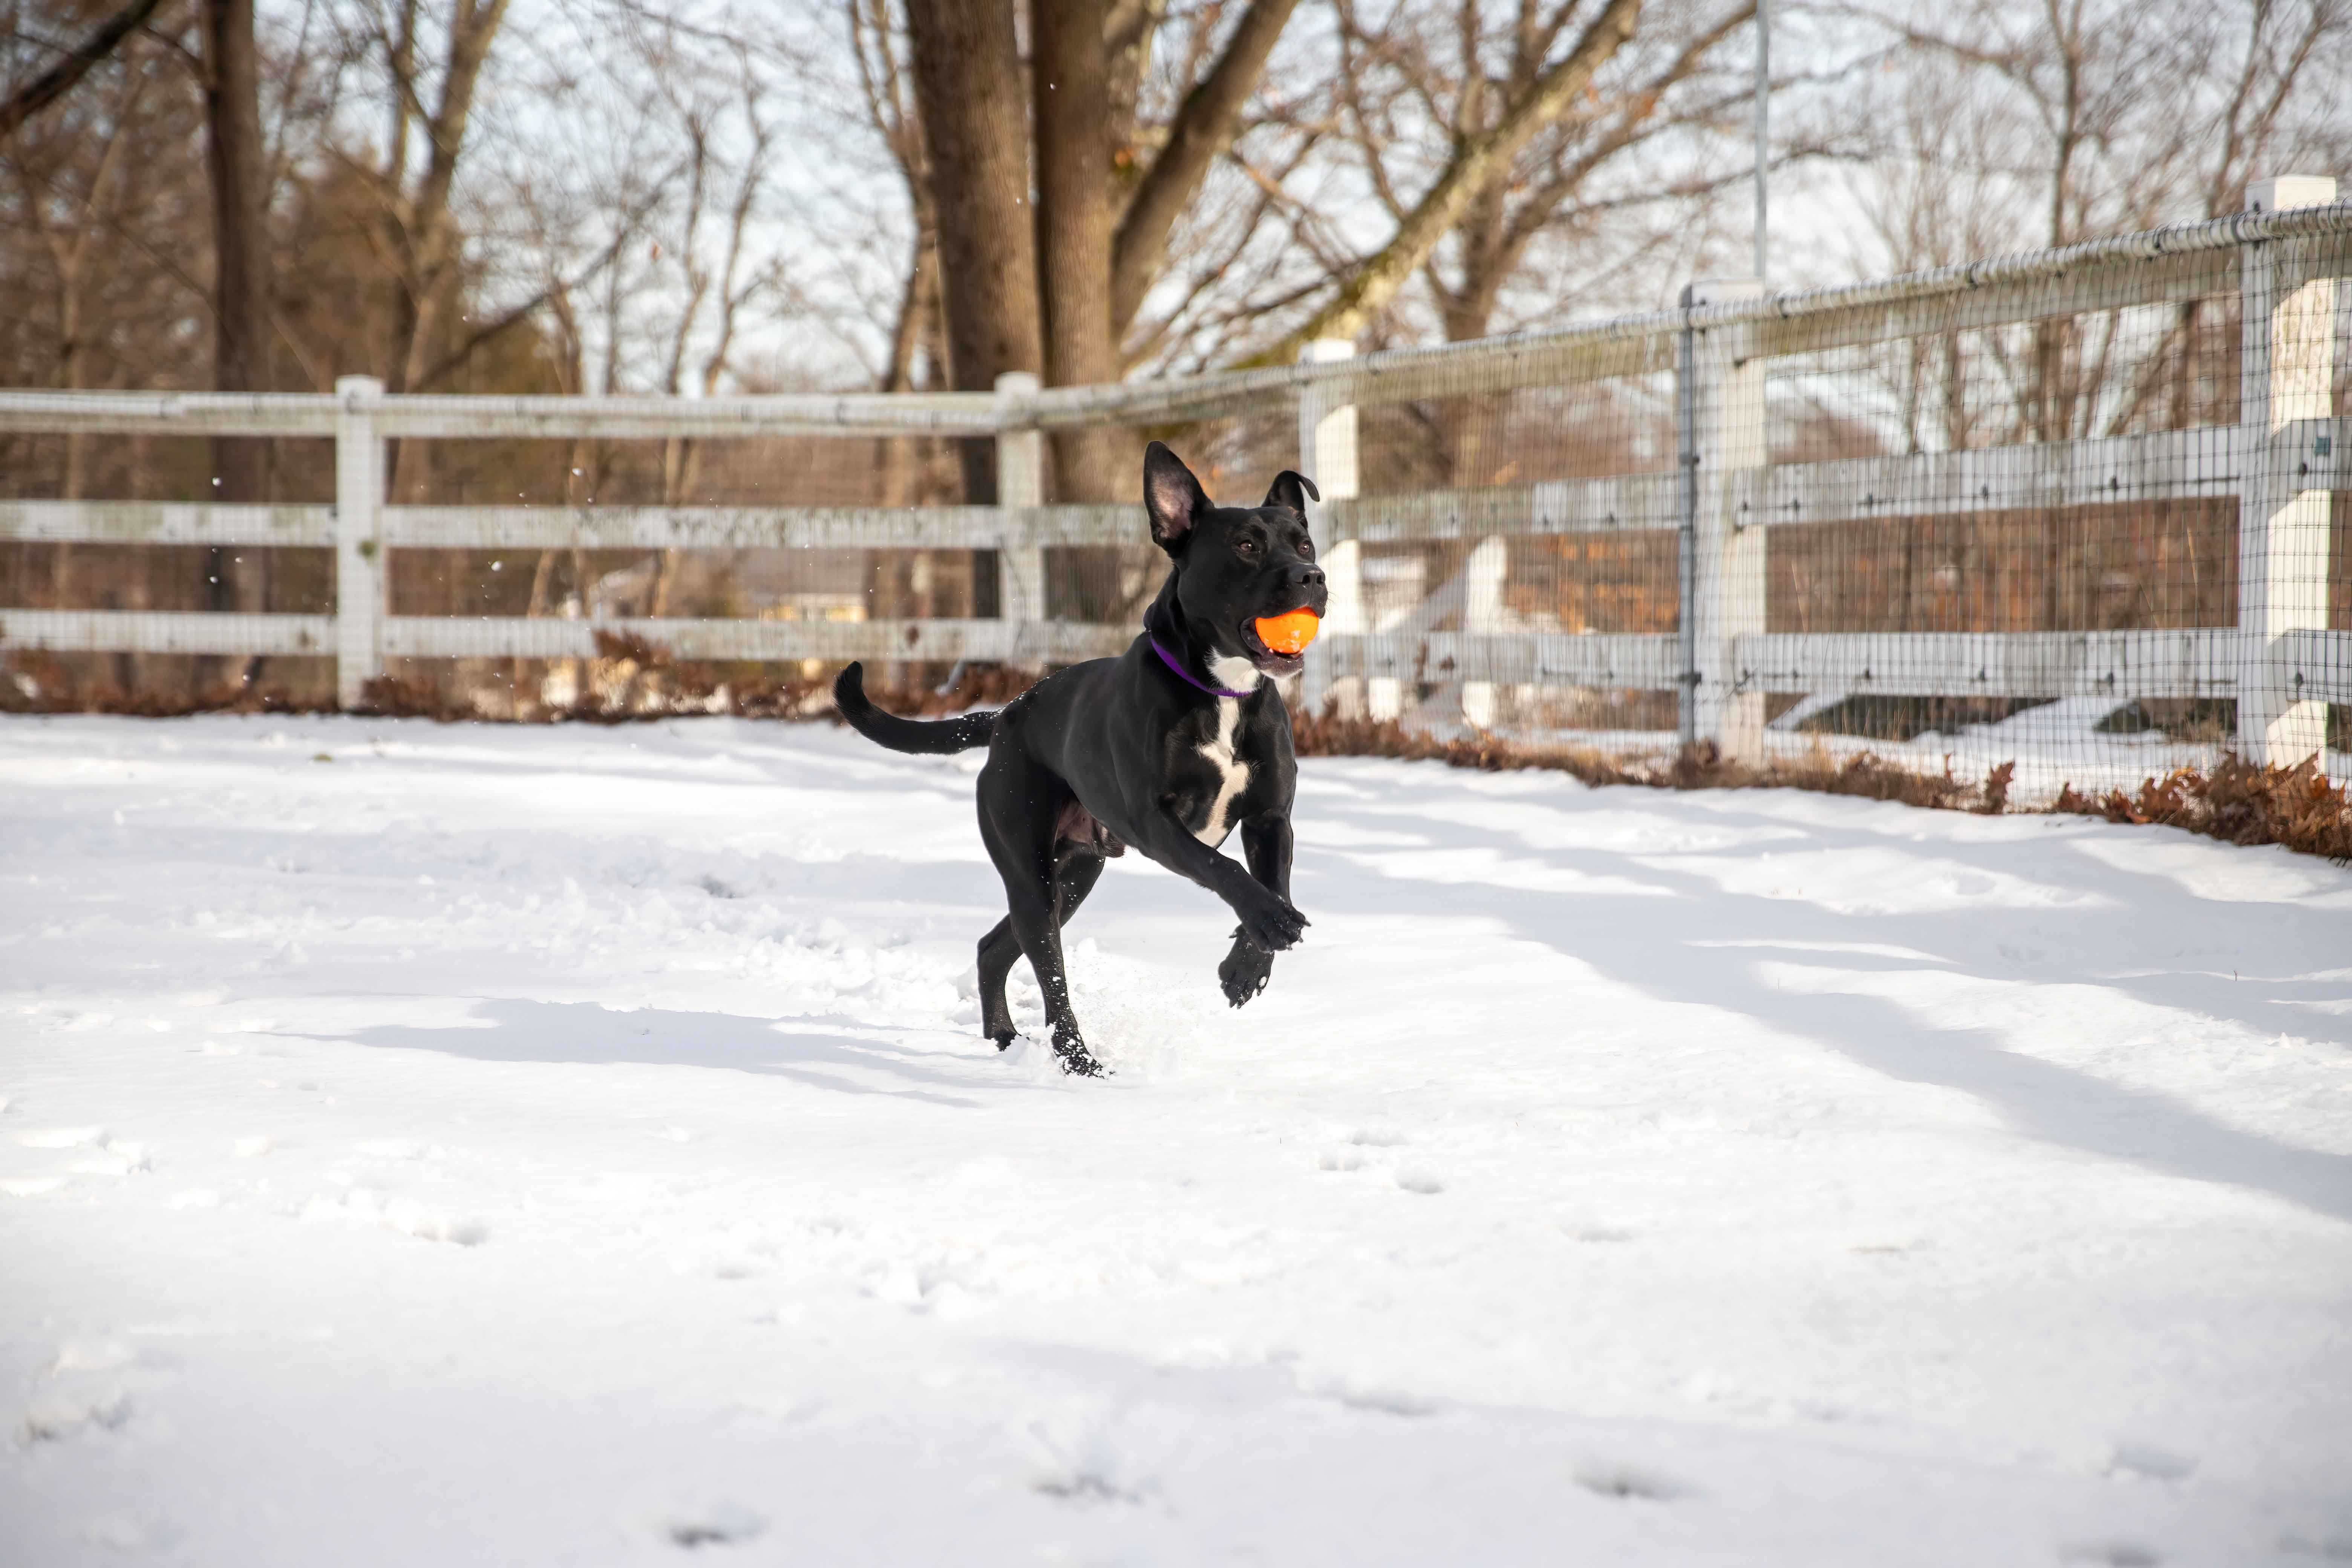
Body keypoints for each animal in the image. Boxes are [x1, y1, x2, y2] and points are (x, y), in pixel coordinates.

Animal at [837, 444, 1336, 1081]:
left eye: (1305, 544)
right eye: (1246, 545)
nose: (1312, 578)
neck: (1223, 689)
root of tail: (1006, 715)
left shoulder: (1272, 818)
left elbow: (1275, 880)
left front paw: (1248, 965)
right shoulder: (1155, 823)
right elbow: (1227, 870)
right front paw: (1269, 924)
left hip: (1075, 874)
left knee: (994, 948)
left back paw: (1004, 1039)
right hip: (1030, 871)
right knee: (1050, 978)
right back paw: (1078, 1063)